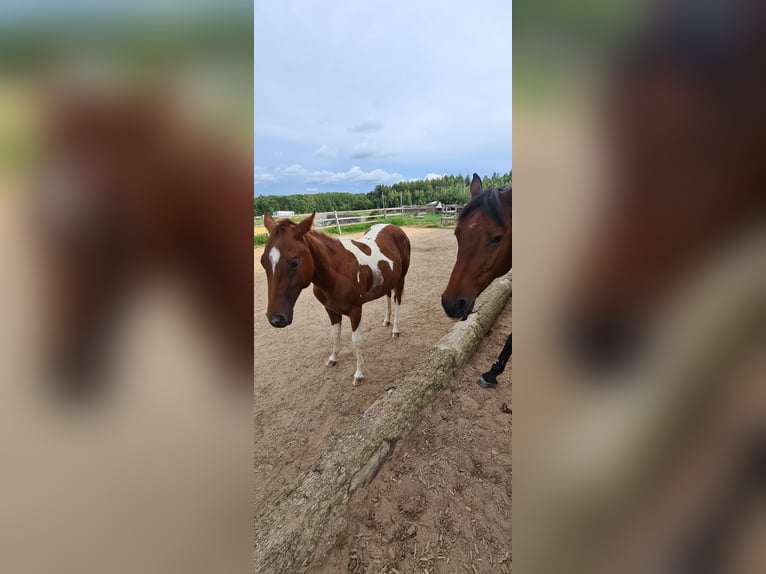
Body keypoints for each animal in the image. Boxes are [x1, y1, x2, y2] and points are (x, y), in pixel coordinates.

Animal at [260, 214, 412, 390]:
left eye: (294, 262)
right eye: (263, 261)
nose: (276, 319)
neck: (338, 271)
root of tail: (394, 227)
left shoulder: (356, 310)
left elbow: (356, 341)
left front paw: (358, 374)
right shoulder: (330, 310)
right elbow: (335, 334)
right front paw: (333, 358)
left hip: (401, 279)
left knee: (397, 301)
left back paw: (395, 329)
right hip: (388, 280)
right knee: (387, 296)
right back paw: (386, 321)